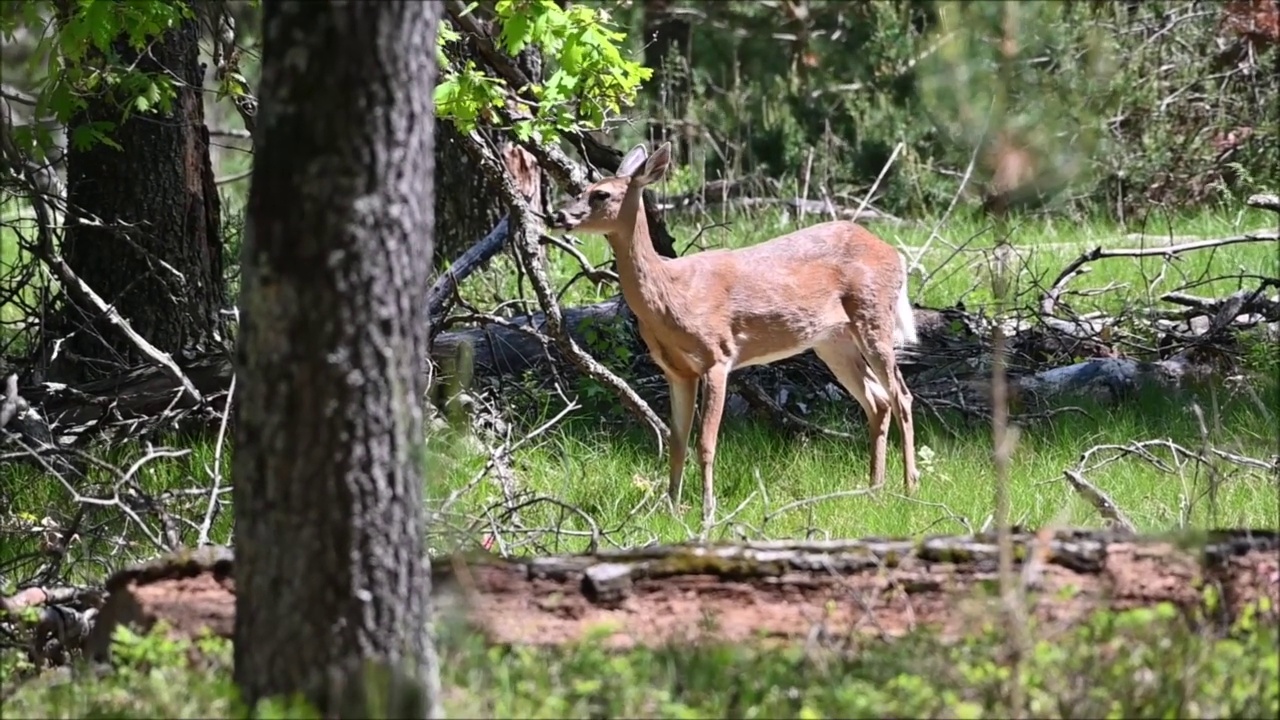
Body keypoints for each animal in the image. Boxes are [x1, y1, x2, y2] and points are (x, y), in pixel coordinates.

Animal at [550, 142, 921, 530]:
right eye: (581, 189)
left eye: (602, 194)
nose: (557, 216)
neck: (673, 295)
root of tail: (895, 254)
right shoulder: (676, 370)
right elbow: (677, 441)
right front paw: (671, 510)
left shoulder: (717, 356)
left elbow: (706, 443)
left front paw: (707, 515)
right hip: (831, 341)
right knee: (877, 400)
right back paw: (874, 490)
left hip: (873, 316)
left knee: (901, 395)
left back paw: (909, 487)